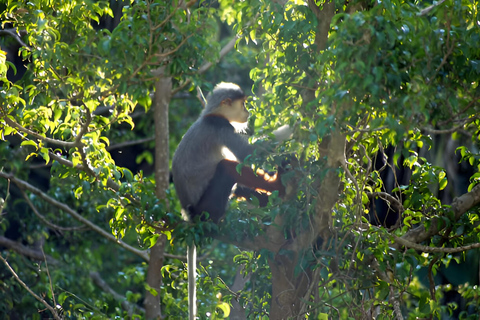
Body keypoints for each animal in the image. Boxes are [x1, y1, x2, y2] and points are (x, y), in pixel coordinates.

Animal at [172, 82, 286, 320]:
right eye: (242, 104)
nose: (247, 112)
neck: (210, 115)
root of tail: (189, 214)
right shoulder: (221, 127)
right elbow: (248, 154)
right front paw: (295, 127)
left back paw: (263, 197)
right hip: (207, 207)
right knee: (227, 167)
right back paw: (276, 186)